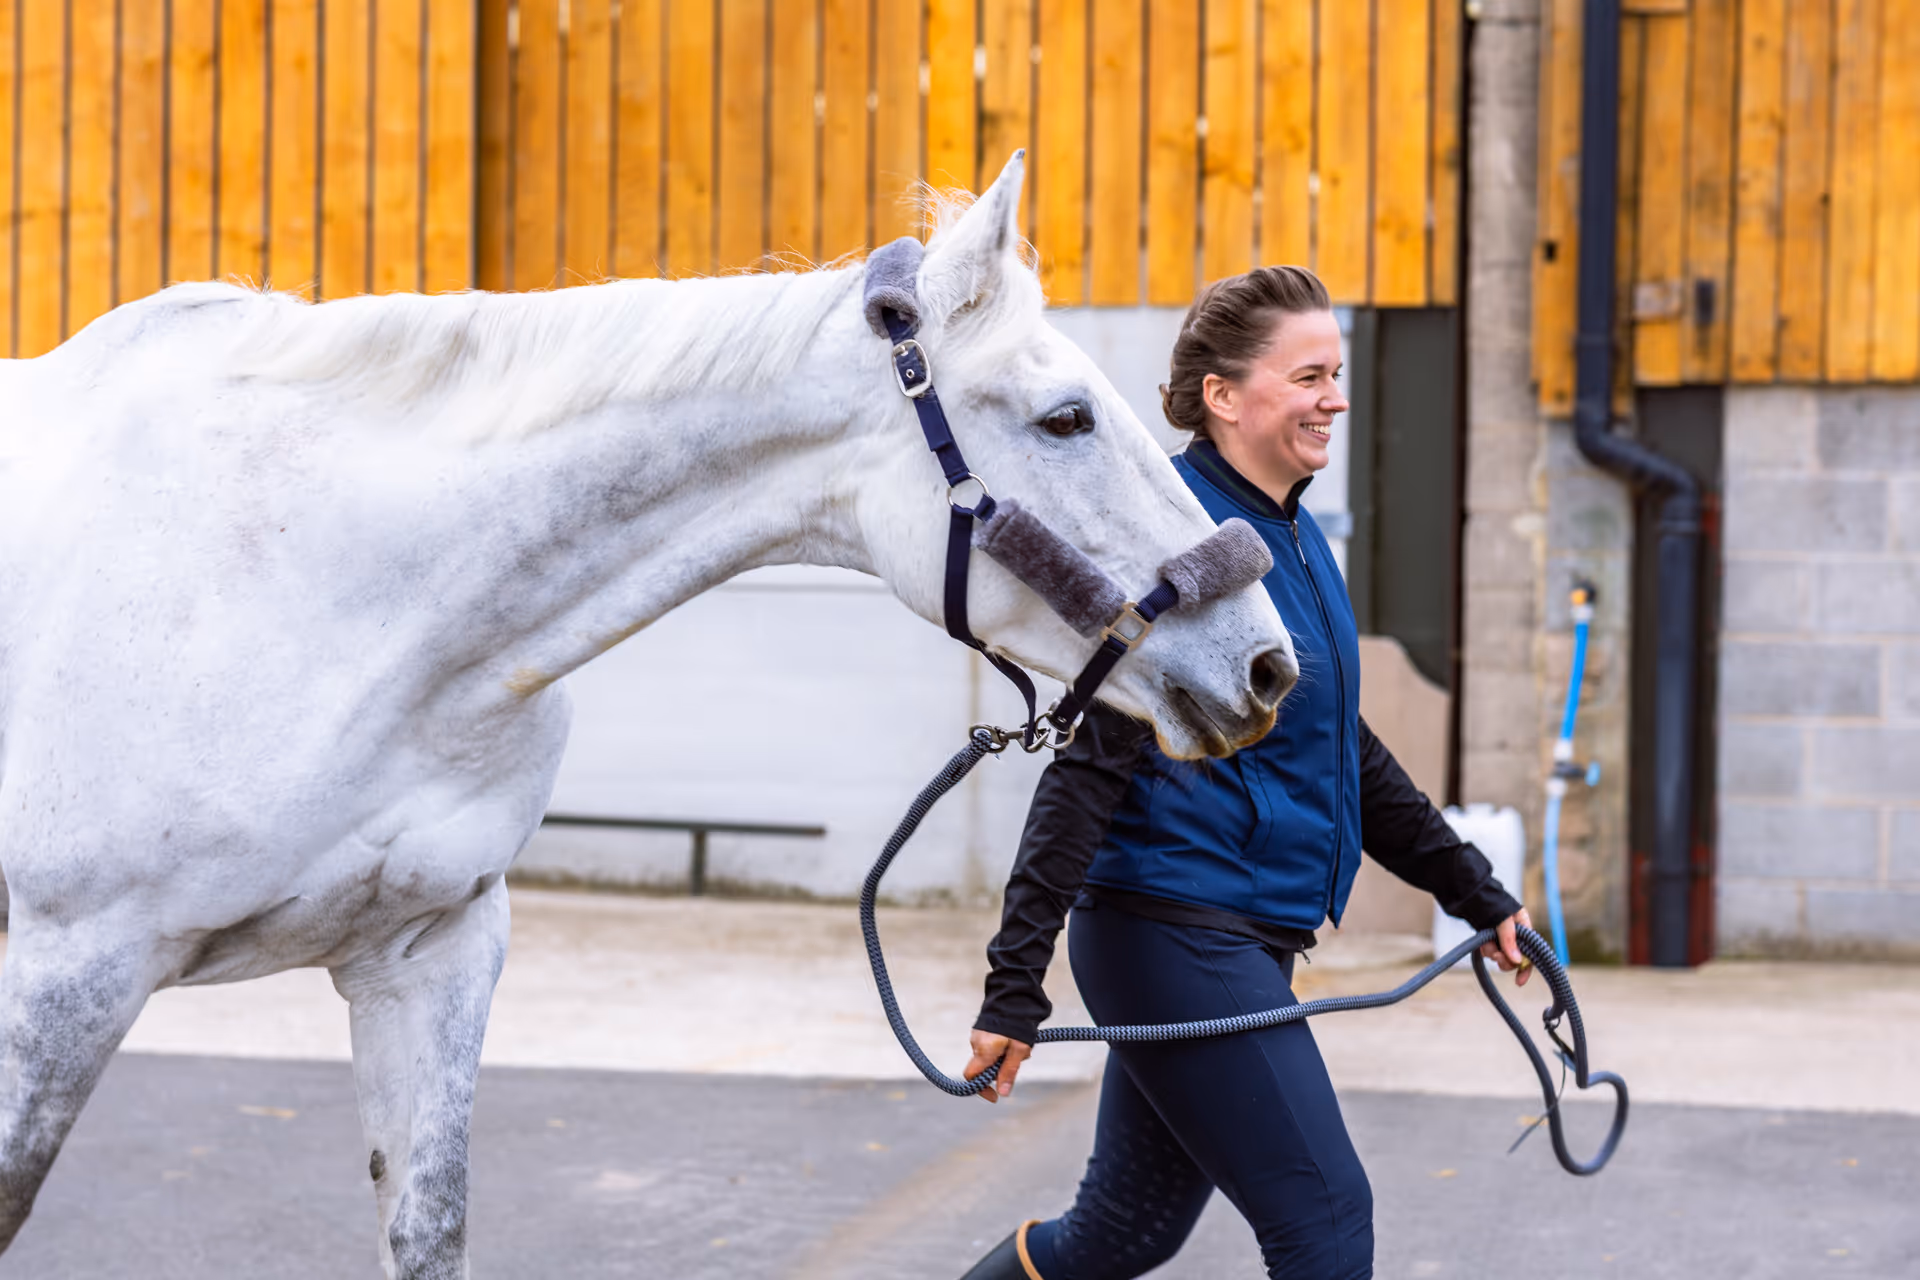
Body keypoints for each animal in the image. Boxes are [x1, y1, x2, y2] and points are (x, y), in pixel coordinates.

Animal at [0, 153, 1294, 1276]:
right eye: (1067, 416)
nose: (1267, 666)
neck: (317, 584)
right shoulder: (66, 974)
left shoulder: (430, 952)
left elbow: (429, 1224)